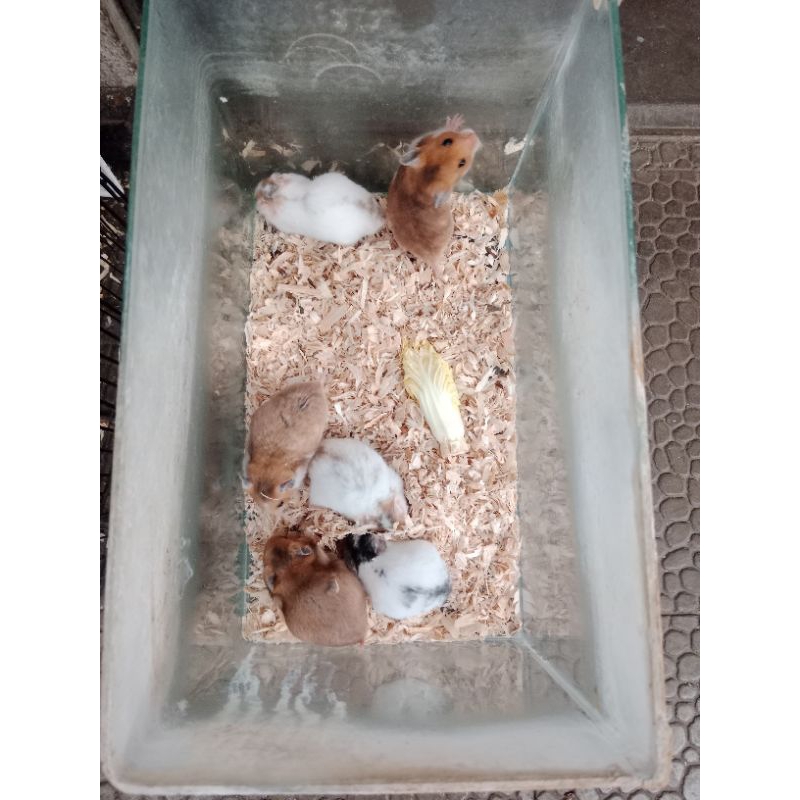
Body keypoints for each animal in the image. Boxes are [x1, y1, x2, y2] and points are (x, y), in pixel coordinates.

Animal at [387, 114, 481, 280]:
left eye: (447, 141)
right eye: (462, 163)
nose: (475, 136)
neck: (425, 180)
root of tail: (433, 259)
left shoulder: (417, 142)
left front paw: (457, 120)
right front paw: (457, 120)